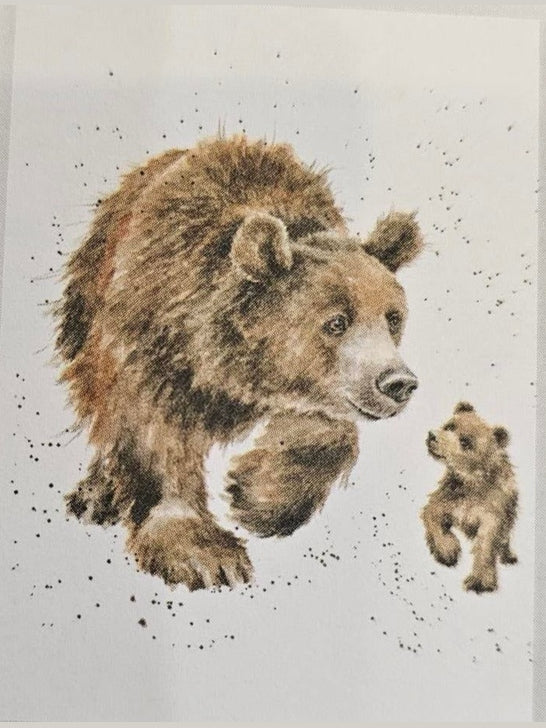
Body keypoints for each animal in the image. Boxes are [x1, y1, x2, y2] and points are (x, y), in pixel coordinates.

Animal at [55, 134, 423, 590]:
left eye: (393, 318)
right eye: (336, 321)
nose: (398, 382)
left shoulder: (310, 387)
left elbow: (328, 428)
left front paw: (260, 496)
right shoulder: (150, 335)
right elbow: (150, 428)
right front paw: (202, 551)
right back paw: (98, 494)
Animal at [422, 401, 518, 593]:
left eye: (465, 441)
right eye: (450, 426)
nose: (432, 436)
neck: (470, 482)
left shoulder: (490, 513)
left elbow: (486, 544)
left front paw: (480, 581)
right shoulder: (449, 499)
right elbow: (432, 515)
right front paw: (448, 551)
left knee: (505, 536)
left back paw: (509, 556)